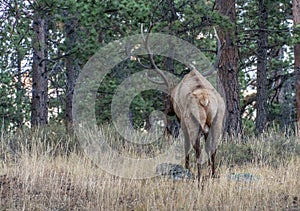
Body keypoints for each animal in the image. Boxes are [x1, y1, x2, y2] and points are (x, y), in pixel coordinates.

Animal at [140, 24, 225, 180]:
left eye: (168, 97)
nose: (167, 110)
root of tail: (204, 99)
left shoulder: (182, 121)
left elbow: (185, 146)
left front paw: (186, 168)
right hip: (217, 121)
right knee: (213, 148)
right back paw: (213, 174)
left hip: (192, 122)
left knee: (196, 148)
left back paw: (198, 177)